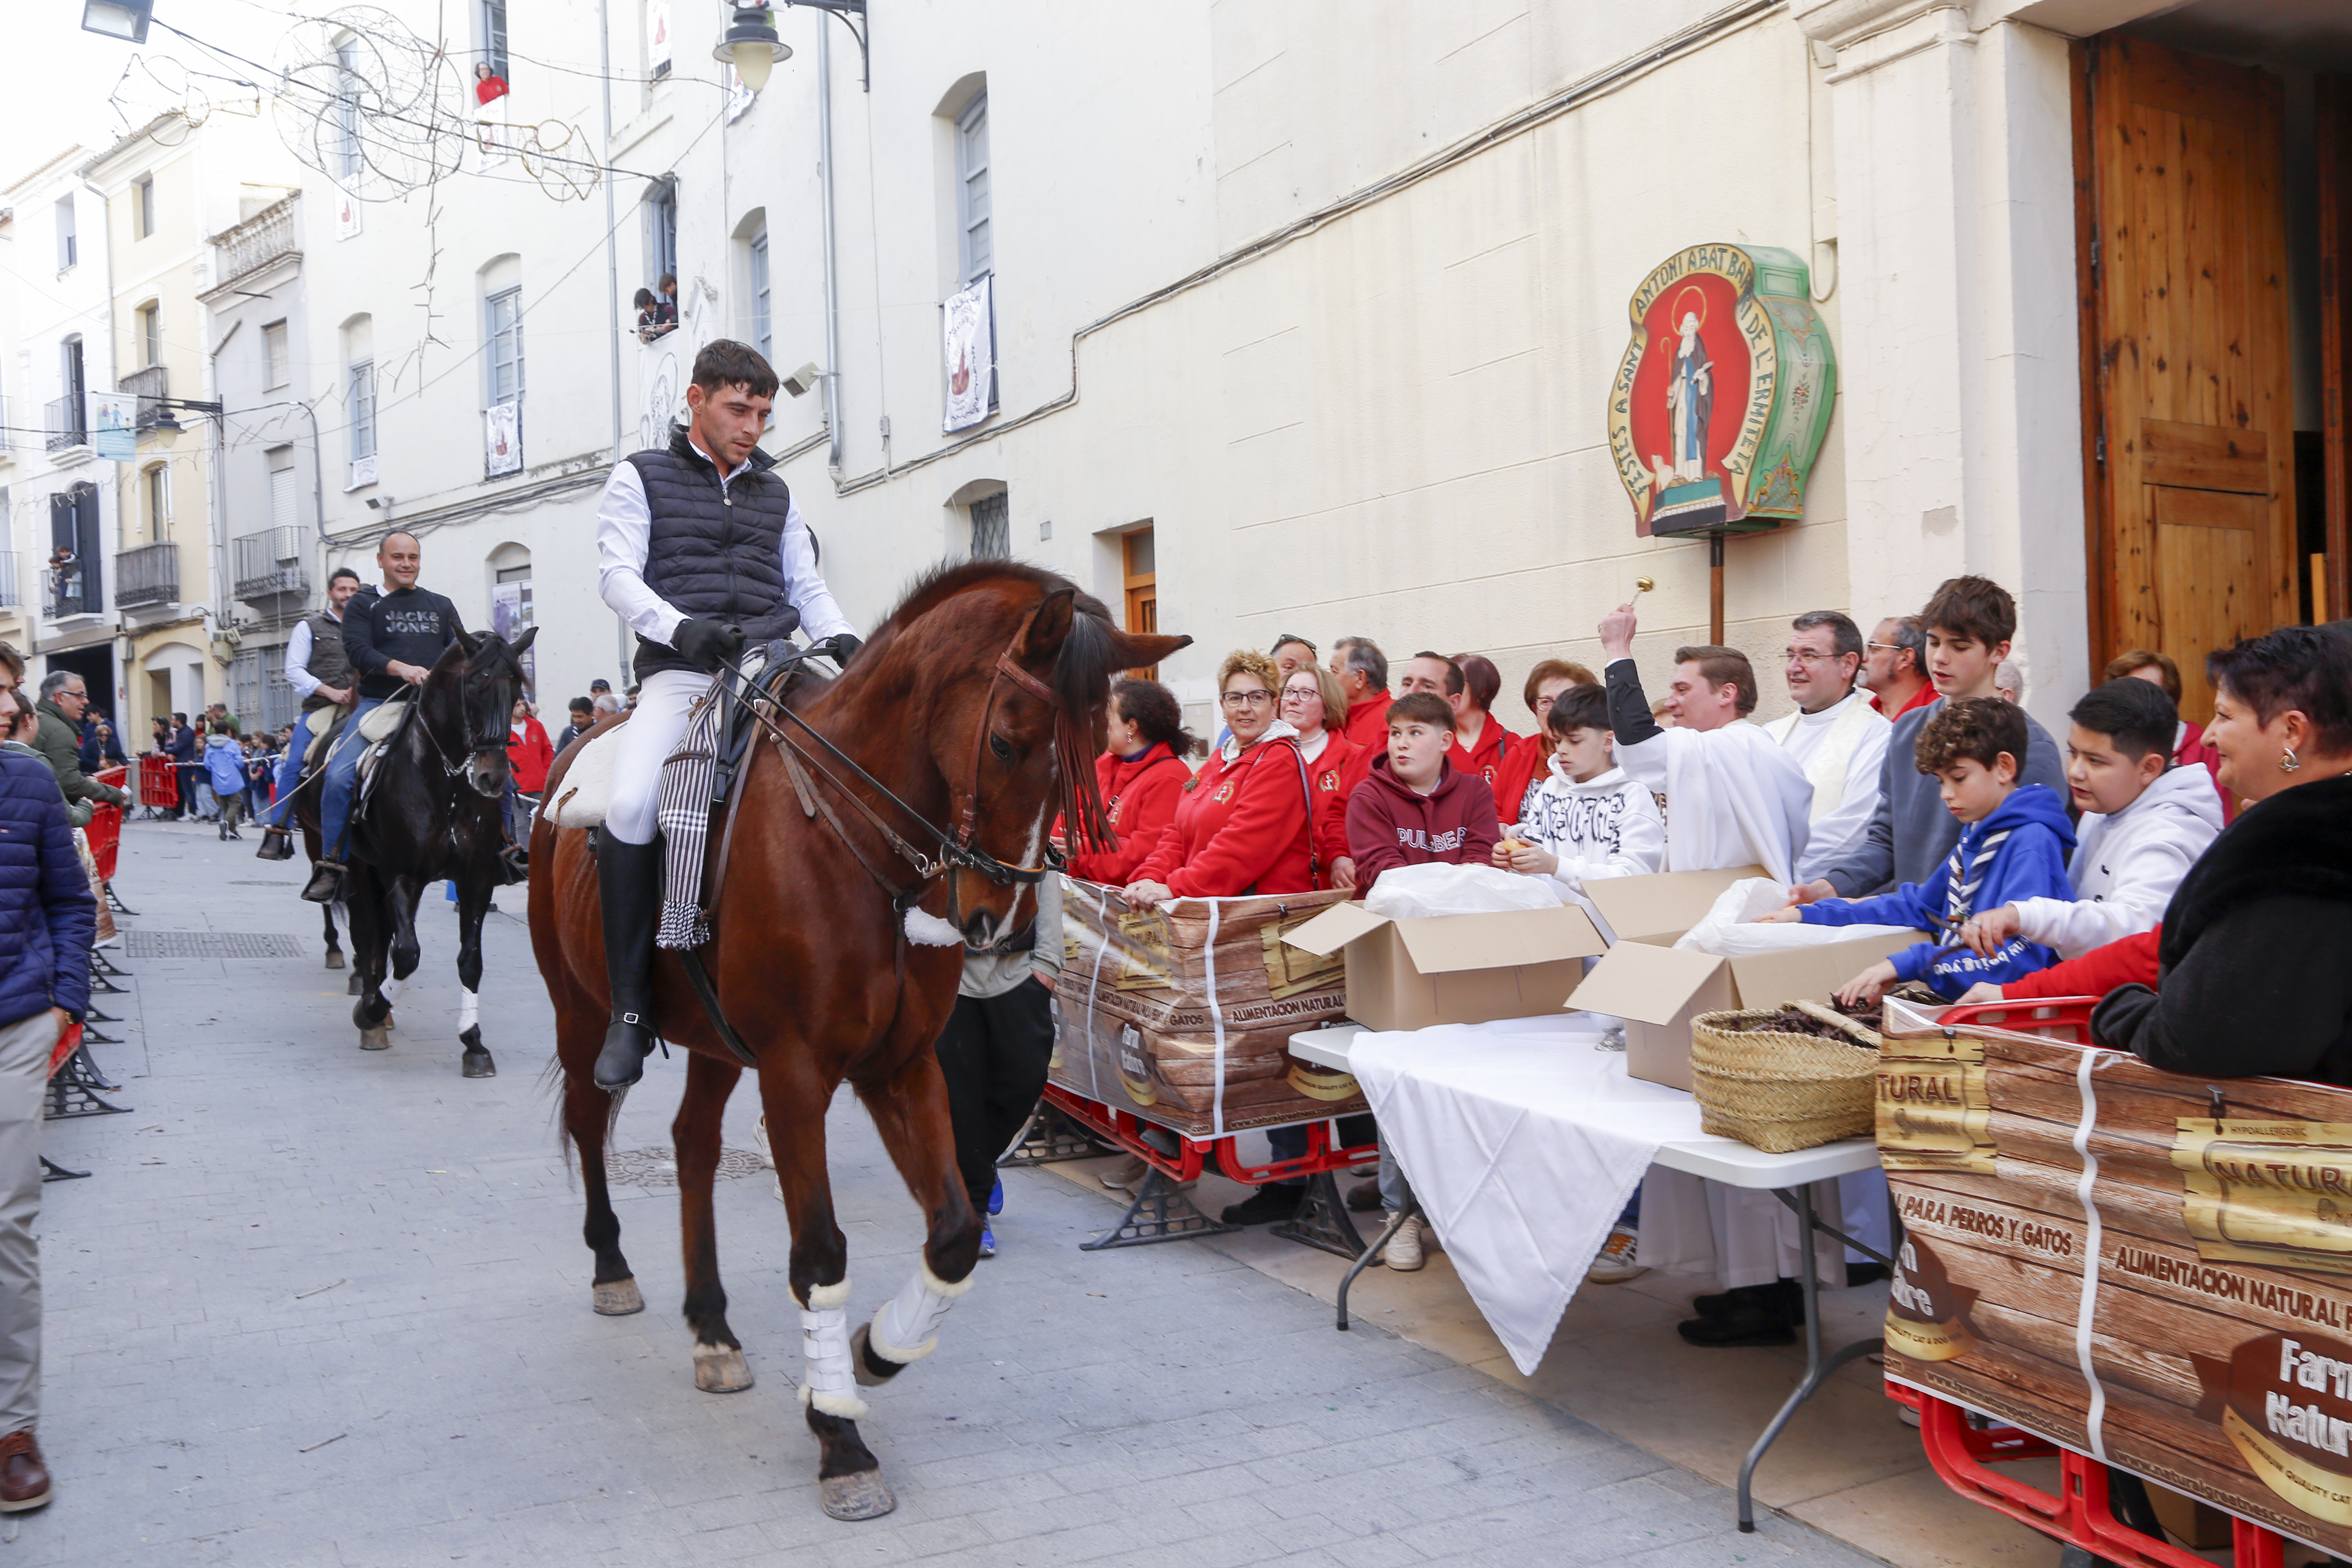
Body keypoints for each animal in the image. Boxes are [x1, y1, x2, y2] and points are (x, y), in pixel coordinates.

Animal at [291, 625, 536, 1081]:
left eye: (516, 689)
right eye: (474, 687)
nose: (493, 778)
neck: (448, 782)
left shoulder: (476, 879)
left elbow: (470, 960)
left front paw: (474, 1044)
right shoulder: (401, 875)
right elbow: (406, 954)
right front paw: (369, 1012)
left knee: (380, 935)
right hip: (357, 866)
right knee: (366, 934)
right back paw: (371, 1008)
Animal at [527, 562, 1185, 1523]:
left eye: (1094, 757)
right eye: (1006, 743)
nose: (1002, 927)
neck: (853, 834)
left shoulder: (901, 1067)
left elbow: (953, 1230)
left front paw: (877, 1351)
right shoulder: (798, 1073)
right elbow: (819, 1252)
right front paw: (839, 1437)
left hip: (717, 1044)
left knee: (692, 1145)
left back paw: (712, 1325)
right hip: (581, 1009)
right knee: (587, 1117)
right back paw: (612, 1264)